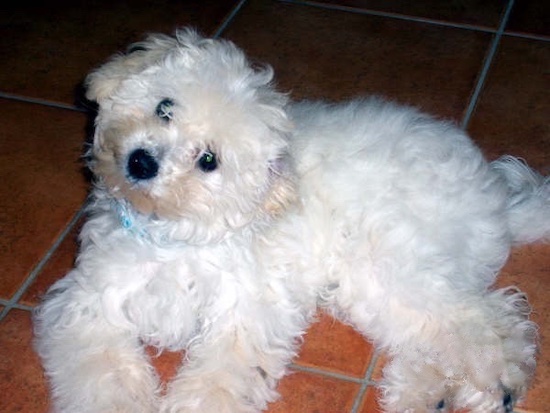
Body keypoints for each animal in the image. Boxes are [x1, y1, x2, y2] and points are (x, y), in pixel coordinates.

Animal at [32, 29, 548, 412]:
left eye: (208, 160)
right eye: (164, 107)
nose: (141, 161)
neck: (172, 237)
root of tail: (497, 195)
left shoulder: (246, 315)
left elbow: (218, 378)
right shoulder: (88, 305)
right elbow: (104, 374)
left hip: (393, 264)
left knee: (489, 318)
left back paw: (500, 378)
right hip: (375, 289)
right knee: (433, 330)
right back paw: (425, 394)